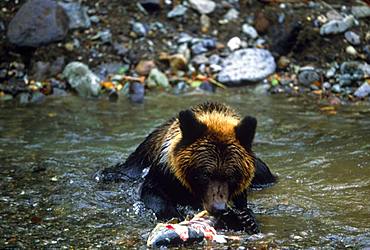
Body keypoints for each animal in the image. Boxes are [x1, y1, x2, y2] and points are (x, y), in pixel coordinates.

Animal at [99, 101, 276, 232]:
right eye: (205, 174)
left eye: (231, 176)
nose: (219, 208)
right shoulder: (164, 173)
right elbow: (153, 193)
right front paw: (174, 216)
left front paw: (246, 219)